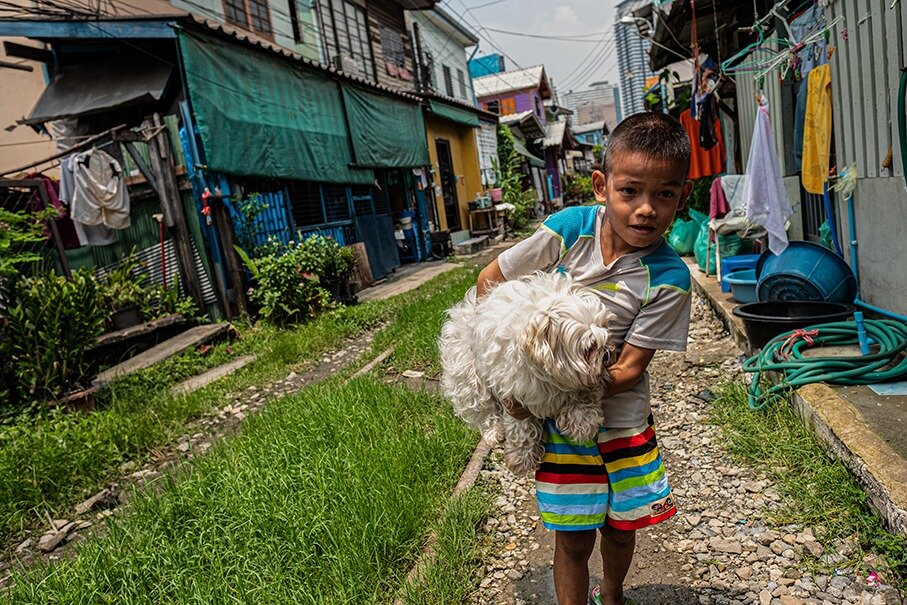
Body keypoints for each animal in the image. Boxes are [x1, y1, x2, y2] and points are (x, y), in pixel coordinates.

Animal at [442, 272, 616, 474]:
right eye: (589, 348)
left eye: (606, 328)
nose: (608, 353)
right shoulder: (514, 393)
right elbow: (521, 428)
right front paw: (521, 457)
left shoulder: (578, 379)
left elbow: (583, 394)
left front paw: (583, 422)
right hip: (468, 378)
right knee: (482, 408)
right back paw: (494, 432)